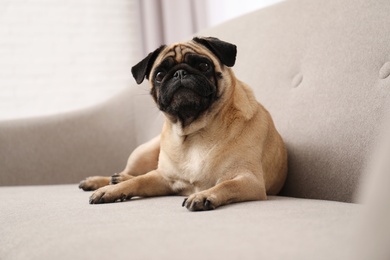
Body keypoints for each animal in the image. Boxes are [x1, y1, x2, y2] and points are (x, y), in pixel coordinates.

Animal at [78, 36, 286, 211]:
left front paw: (203, 196)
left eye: (204, 65)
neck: (196, 130)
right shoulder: (163, 178)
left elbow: (226, 184)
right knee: (131, 173)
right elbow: (136, 182)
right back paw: (105, 180)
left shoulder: (249, 180)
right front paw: (109, 191)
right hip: (143, 152)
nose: (179, 73)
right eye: (159, 75)